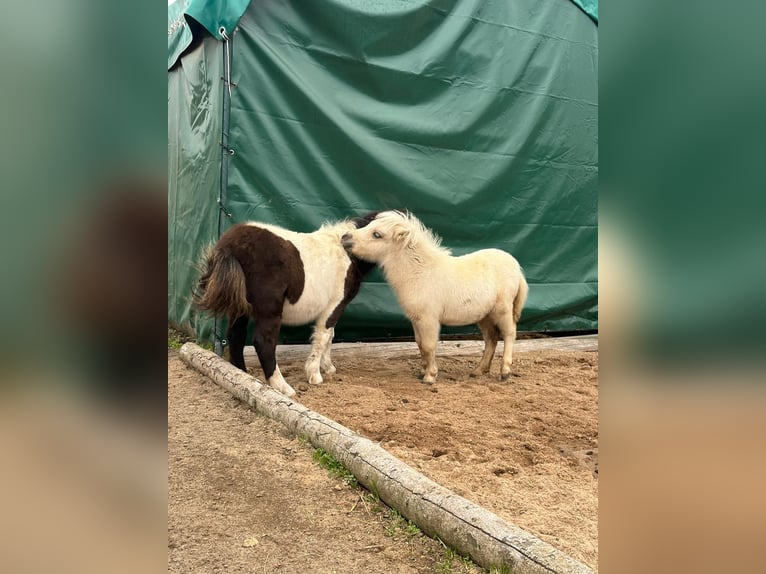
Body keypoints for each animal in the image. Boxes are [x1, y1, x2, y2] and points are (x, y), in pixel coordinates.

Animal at [194, 214, 380, 398]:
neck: (346, 253)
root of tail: (230, 246)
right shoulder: (335, 304)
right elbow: (324, 336)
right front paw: (315, 375)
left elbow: (330, 335)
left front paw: (328, 368)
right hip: (270, 310)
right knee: (263, 342)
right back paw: (283, 387)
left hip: (240, 308)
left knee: (236, 335)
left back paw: (243, 376)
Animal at [342, 210, 528, 382]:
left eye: (377, 234)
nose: (345, 238)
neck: (421, 272)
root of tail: (517, 267)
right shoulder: (416, 319)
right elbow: (420, 344)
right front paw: (422, 371)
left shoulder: (428, 318)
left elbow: (429, 345)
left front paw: (430, 376)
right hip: (485, 315)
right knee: (491, 339)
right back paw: (478, 371)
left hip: (503, 309)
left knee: (509, 334)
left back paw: (505, 372)